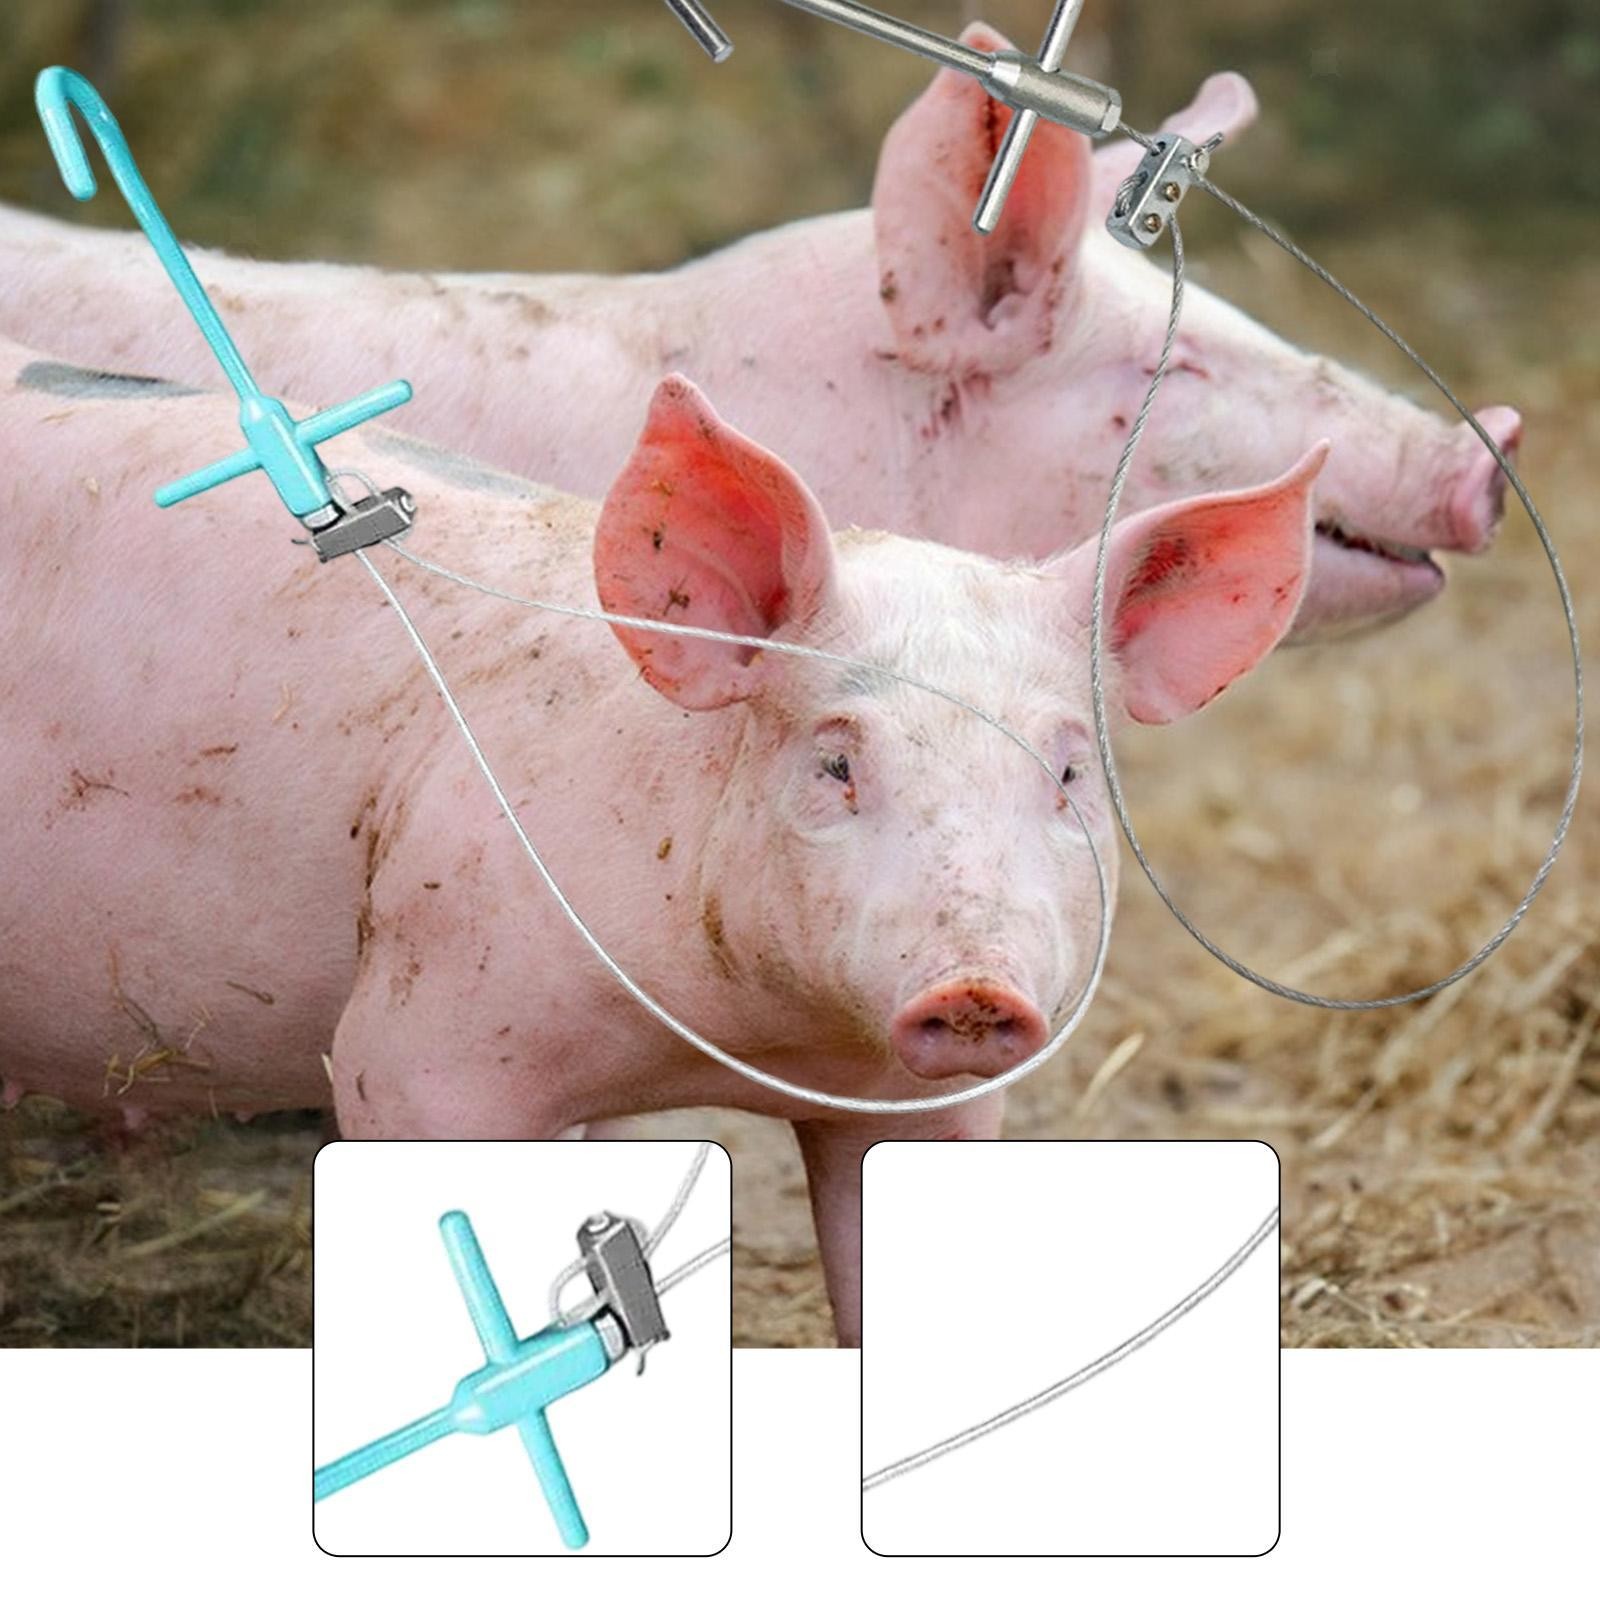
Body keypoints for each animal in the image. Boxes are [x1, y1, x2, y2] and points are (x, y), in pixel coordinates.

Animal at [0, 342, 1325, 1342]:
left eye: (1064, 771)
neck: (738, 1041)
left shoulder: (928, 1111)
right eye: (834, 761)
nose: (975, 990)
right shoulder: (416, 1043)